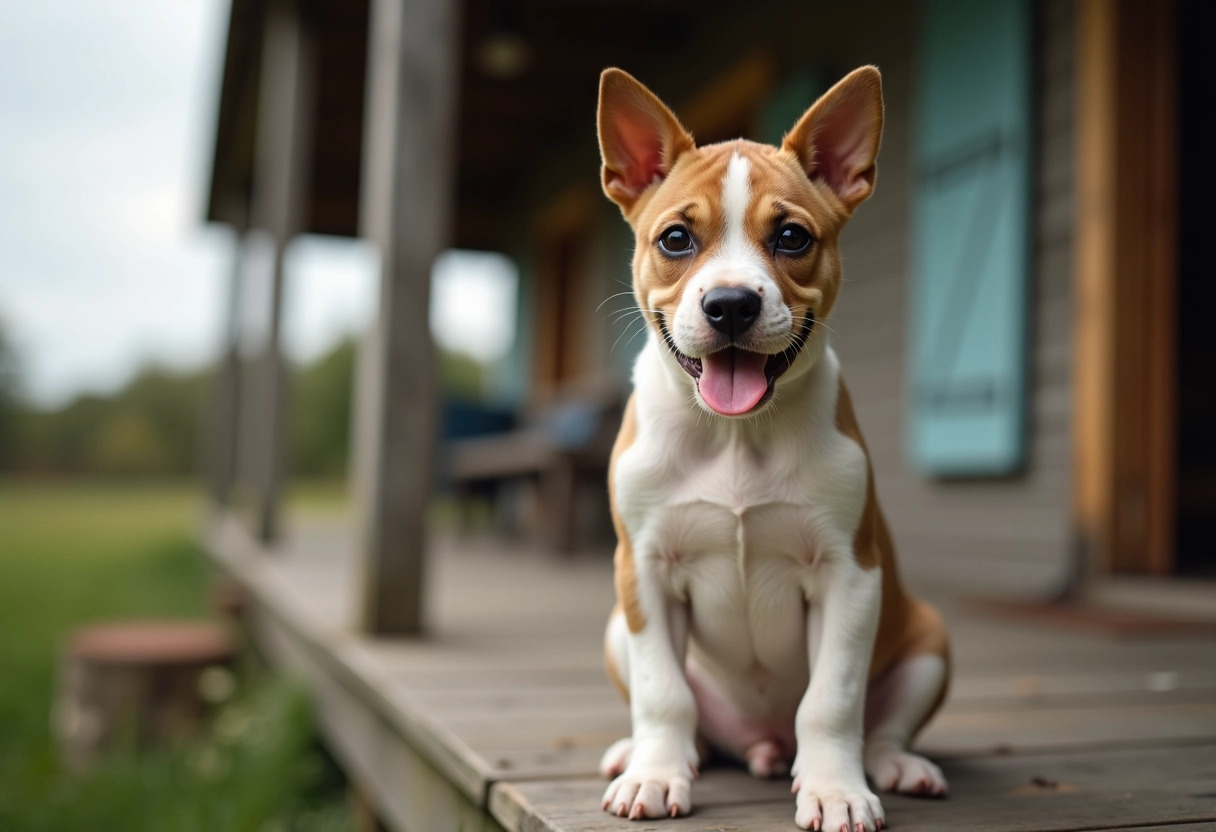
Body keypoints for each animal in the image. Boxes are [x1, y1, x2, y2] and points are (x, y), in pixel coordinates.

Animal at [595, 66, 948, 832]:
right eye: (675, 239)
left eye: (791, 237)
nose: (730, 304)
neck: (736, 435)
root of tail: (759, 741)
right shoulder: (644, 571)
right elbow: (662, 692)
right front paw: (655, 775)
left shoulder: (850, 574)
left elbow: (832, 701)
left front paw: (836, 789)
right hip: (616, 626)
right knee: (688, 719)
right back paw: (644, 754)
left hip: (930, 641)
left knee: (882, 726)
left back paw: (895, 764)